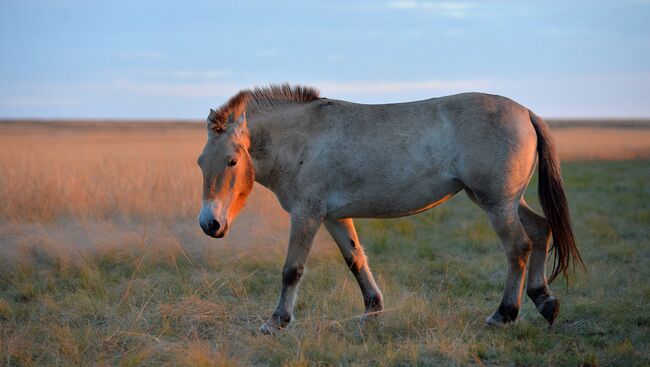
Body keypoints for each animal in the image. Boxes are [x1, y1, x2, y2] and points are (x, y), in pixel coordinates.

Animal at [194, 84, 584, 336]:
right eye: (201, 162)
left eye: (231, 161)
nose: (209, 224)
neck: (303, 138)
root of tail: (526, 112)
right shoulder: (334, 218)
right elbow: (356, 261)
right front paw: (373, 311)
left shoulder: (307, 216)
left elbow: (292, 270)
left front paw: (276, 322)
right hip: (504, 201)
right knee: (540, 230)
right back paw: (543, 300)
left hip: (497, 204)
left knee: (518, 247)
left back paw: (504, 315)